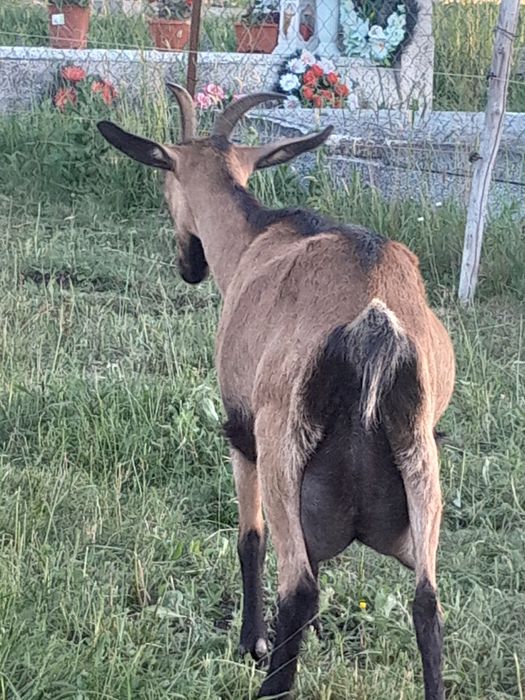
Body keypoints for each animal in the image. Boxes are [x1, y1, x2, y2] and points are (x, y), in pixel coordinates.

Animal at [97, 86, 455, 700]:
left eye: (167, 185)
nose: (189, 266)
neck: (261, 238)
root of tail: (374, 328)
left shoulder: (241, 431)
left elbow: (249, 538)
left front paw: (252, 642)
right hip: (420, 469)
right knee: (427, 604)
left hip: (283, 451)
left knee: (301, 588)